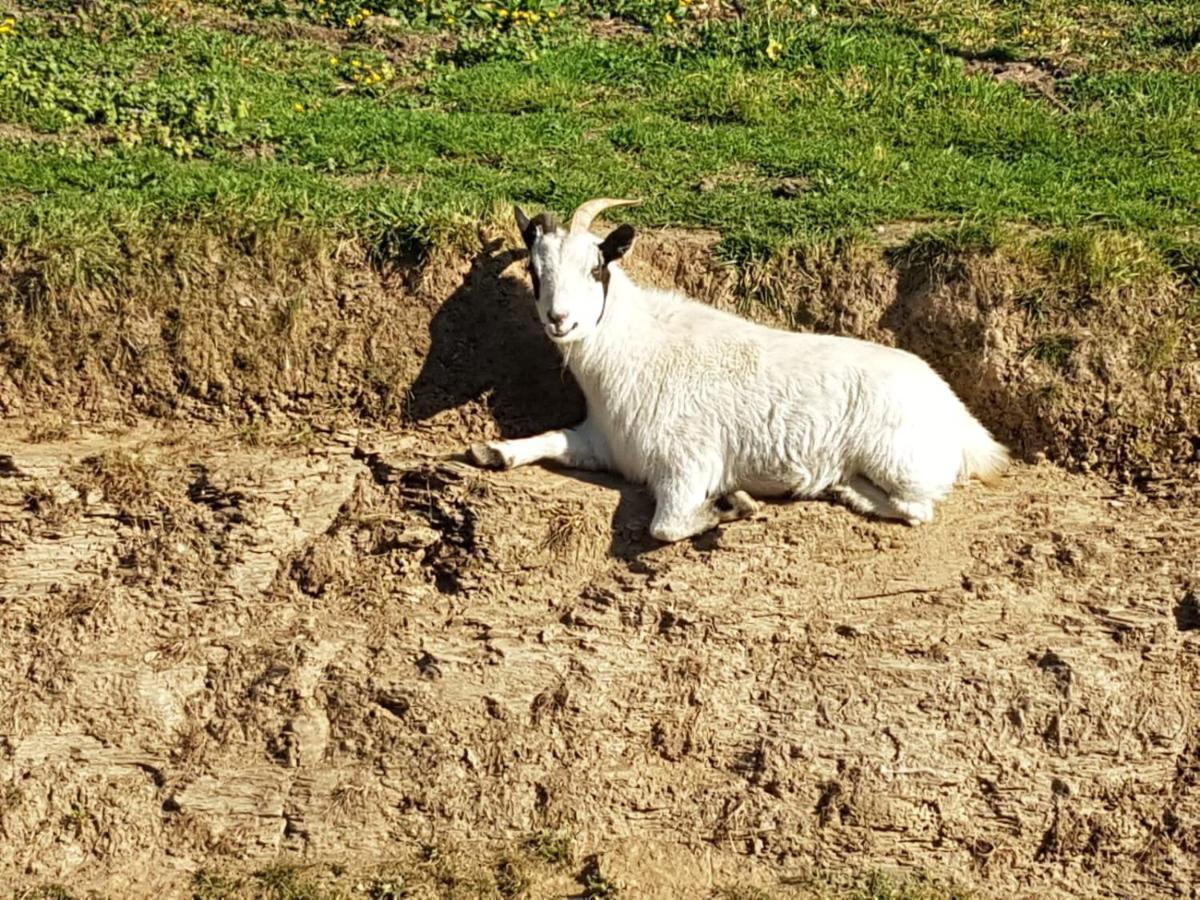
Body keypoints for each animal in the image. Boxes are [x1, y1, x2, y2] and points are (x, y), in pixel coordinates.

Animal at [463, 199, 1008, 542]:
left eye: (597, 268)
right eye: (536, 272)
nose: (560, 319)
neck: (634, 350)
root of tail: (964, 423)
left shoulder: (687, 461)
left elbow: (667, 525)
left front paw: (730, 507)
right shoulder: (605, 444)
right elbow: (553, 438)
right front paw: (494, 450)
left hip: (901, 462)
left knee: (918, 508)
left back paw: (846, 490)